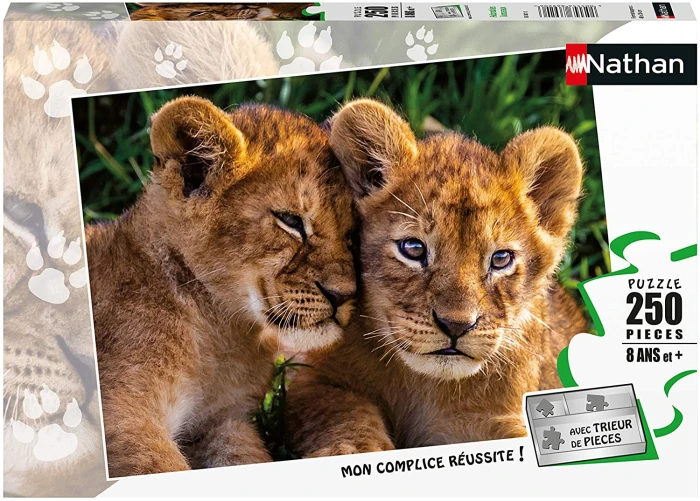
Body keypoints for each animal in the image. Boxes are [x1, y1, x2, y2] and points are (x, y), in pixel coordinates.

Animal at [87, 97, 356, 477]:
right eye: (290, 221)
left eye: (351, 233)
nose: (344, 295)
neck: (219, 332)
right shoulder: (121, 412)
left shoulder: (223, 420)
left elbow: (246, 456)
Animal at [286, 99, 588, 456]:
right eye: (413, 249)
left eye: (500, 259)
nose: (456, 326)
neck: (425, 385)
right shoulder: (311, 381)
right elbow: (347, 414)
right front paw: (355, 451)